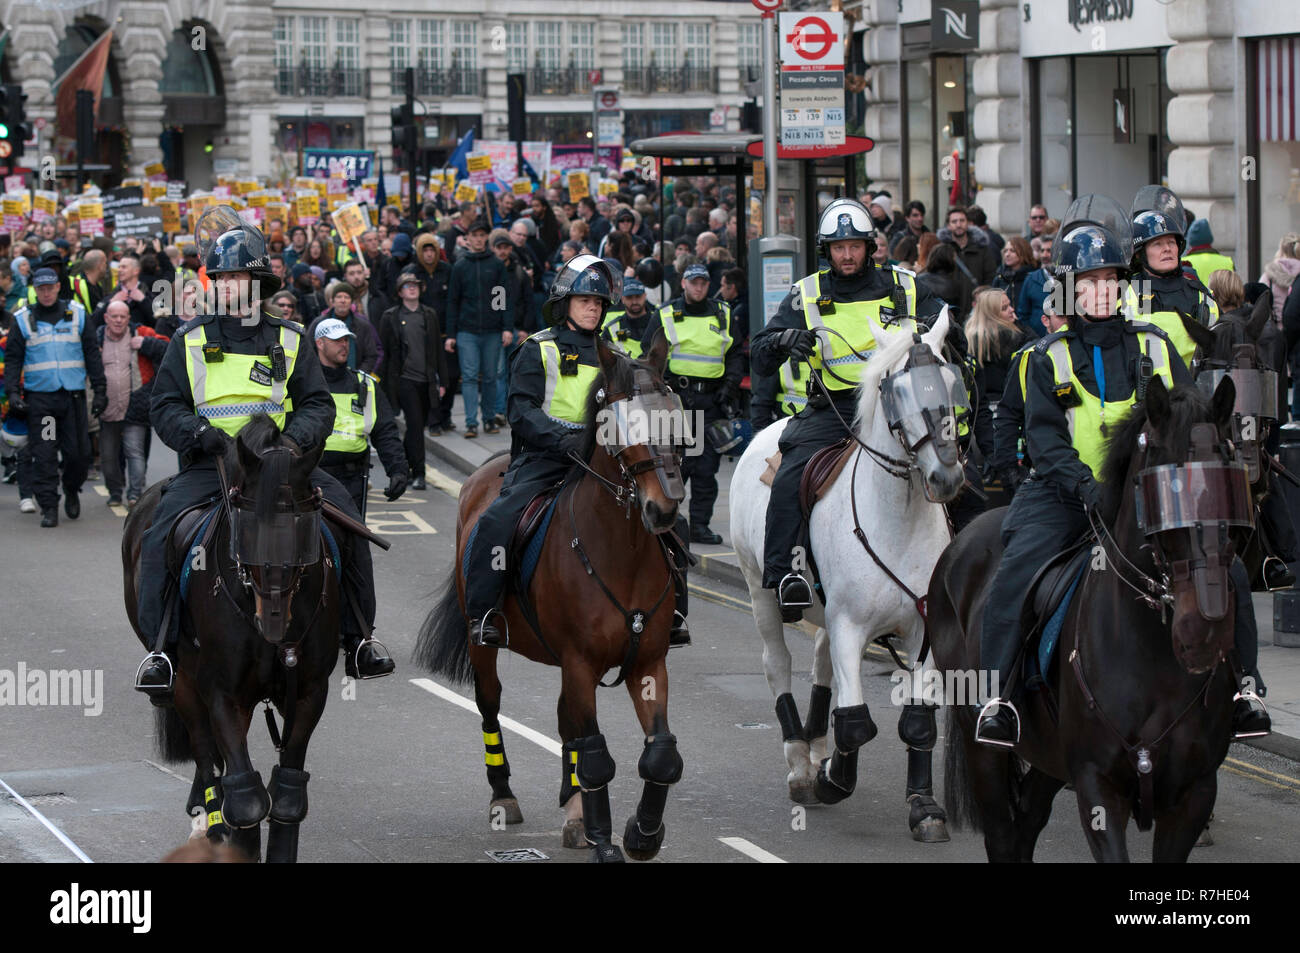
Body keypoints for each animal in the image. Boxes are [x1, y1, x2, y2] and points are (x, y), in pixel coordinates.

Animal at [120, 416, 345, 863]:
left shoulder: (310, 690)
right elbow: (246, 799)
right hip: (185, 684)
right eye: (247, 525)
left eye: (305, 526)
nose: (272, 619)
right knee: (207, 755)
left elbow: (286, 795)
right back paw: (205, 822)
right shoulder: (222, 692)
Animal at [418, 332, 691, 863]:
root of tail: (490, 467)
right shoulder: (580, 660)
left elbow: (661, 754)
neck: (621, 552)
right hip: (485, 643)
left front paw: (641, 834)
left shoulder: (648, 661)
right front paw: (605, 841)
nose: (663, 509)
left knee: (569, 724)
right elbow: (598, 757)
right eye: (619, 424)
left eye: (674, 414)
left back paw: (573, 806)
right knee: (490, 704)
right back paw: (505, 795)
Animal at [733, 310, 967, 842]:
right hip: (760, 591)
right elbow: (857, 723)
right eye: (896, 390)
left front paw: (924, 806)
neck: (899, 518)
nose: (946, 476)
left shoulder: (922, 631)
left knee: (820, 667)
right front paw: (831, 780)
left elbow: (917, 723)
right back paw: (801, 764)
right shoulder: (850, 625)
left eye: (951, 382)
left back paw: (817, 745)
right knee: (777, 664)